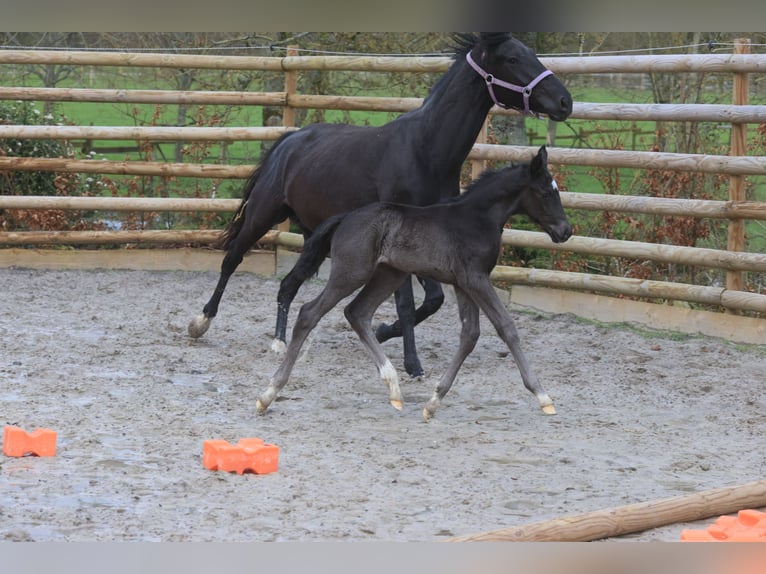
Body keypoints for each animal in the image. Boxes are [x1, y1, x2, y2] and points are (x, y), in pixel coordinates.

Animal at [189, 33, 572, 380]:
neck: (427, 151)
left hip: (314, 234)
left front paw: (385, 331)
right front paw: (412, 362)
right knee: (232, 259)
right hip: (263, 214)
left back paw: (280, 341)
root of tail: (290, 140)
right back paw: (201, 322)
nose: (565, 101)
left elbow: (433, 300)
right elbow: (407, 303)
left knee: (288, 284)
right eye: (512, 59)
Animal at [255, 146, 572, 420]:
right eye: (546, 192)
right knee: (310, 313)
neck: (475, 219)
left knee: (357, 312)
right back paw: (268, 394)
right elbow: (506, 327)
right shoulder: (476, 278)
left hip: (389, 275)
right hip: (351, 273)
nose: (565, 231)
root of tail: (345, 217)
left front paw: (433, 402)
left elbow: (470, 335)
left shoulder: (463, 283)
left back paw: (394, 388)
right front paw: (543, 396)